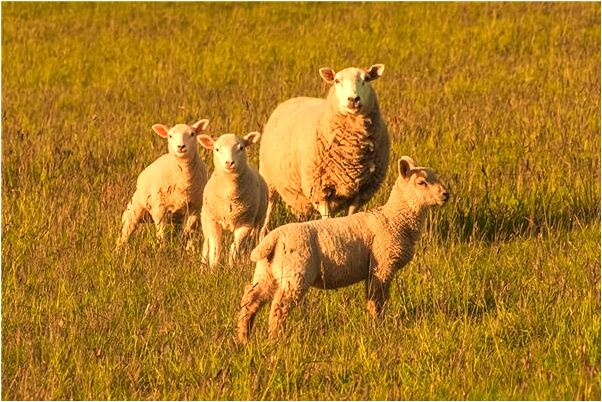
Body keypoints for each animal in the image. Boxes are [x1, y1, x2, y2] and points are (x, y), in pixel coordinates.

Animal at [116, 118, 210, 248]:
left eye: (192, 134)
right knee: (126, 231)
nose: (181, 146)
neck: (184, 181)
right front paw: (162, 248)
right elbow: (161, 233)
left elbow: (190, 232)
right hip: (135, 208)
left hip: (177, 217)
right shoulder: (159, 209)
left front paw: (190, 249)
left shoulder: (196, 208)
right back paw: (119, 248)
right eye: (170, 136)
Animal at [199, 133, 268, 270]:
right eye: (217, 149)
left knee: (255, 240)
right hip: (205, 220)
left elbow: (235, 247)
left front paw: (231, 266)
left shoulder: (245, 223)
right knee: (206, 244)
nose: (229, 163)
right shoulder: (213, 221)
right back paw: (203, 267)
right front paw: (213, 268)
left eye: (241, 148)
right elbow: (215, 248)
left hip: (259, 221)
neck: (230, 193)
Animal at [237, 155, 448, 342]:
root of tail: (272, 239)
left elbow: (373, 298)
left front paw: (373, 324)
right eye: (421, 182)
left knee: (250, 301)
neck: (394, 218)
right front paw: (378, 326)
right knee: (278, 307)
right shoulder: (382, 265)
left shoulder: (375, 269)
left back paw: (244, 338)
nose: (446, 195)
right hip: (295, 272)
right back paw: (275, 339)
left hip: (267, 272)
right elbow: (378, 299)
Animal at [258, 62, 390, 236]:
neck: (353, 154)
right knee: (269, 207)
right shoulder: (321, 191)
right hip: (269, 178)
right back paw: (263, 233)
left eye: (367, 79)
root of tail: (294, 98)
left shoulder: (360, 193)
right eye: (336, 81)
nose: (353, 99)